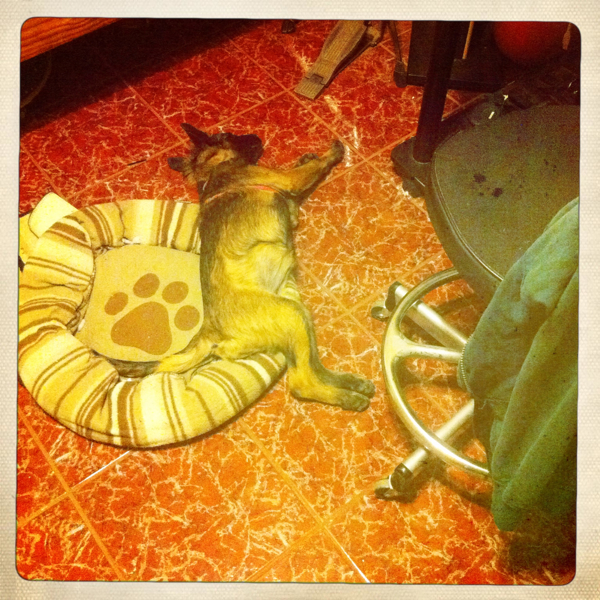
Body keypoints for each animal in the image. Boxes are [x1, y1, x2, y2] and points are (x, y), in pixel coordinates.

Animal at [155, 124, 375, 412]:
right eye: (230, 135)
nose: (256, 137)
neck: (211, 171)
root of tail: (210, 328)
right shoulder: (286, 180)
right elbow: (312, 168)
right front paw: (331, 152)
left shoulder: (290, 207)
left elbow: (297, 190)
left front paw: (306, 157)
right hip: (290, 314)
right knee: (301, 382)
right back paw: (347, 397)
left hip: (297, 318)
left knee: (313, 366)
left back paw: (349, 383)